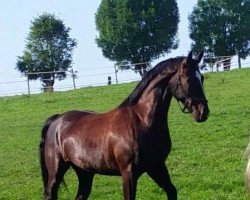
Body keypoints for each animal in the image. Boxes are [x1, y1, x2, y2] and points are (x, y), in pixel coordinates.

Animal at [39, 50, 209, 199]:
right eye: (187, 78)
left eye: (202, 78)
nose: (203, 112)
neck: (141, 121)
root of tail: (57, 120)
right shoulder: (129, 173)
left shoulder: (157, 167)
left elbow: (172, 192)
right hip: (56, 173)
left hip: (85, 173)